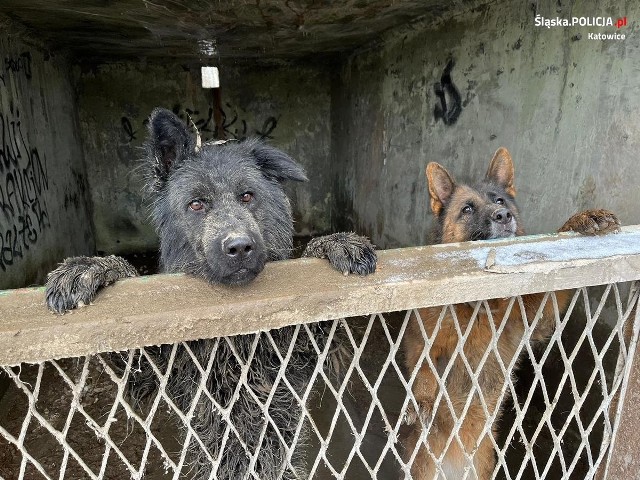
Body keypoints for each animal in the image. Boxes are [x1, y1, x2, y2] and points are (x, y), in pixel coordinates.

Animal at [47, 107, 378, 478]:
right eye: (196, 204)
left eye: (247, 196)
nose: (240, 247)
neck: (234, 335)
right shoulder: (156, 372)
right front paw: (95, 267)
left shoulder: (297, 358)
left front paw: (334, 243)